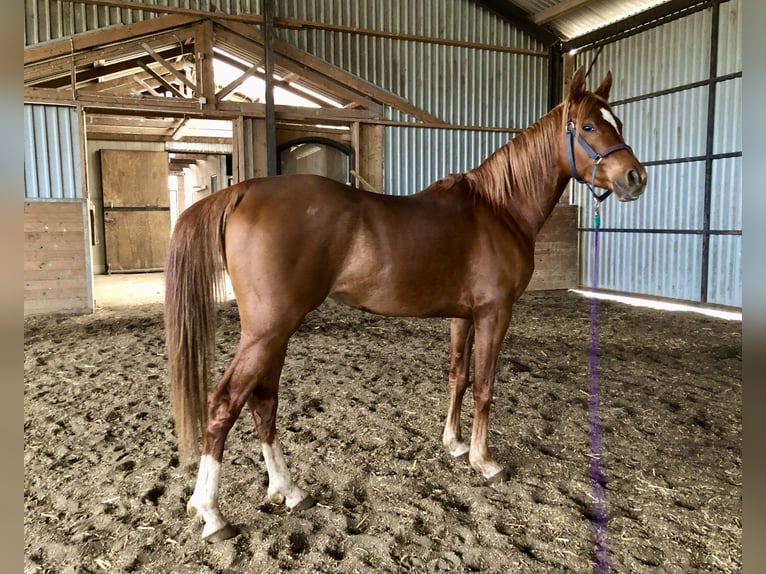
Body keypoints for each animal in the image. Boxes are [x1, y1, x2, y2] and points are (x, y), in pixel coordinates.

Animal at [166, 67, 648, 544]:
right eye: (588, 126)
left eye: (620, 122)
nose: (635, 177)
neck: (499, 210)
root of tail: (246, 191)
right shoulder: (494, 314)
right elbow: (485, 385)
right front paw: (484, 461)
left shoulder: (462, 316)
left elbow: (458, 377)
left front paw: (455, 444)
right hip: (268, 331)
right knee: (224, 403)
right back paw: (211, 513)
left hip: (275, 333)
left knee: (263, 401)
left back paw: (289, 490)